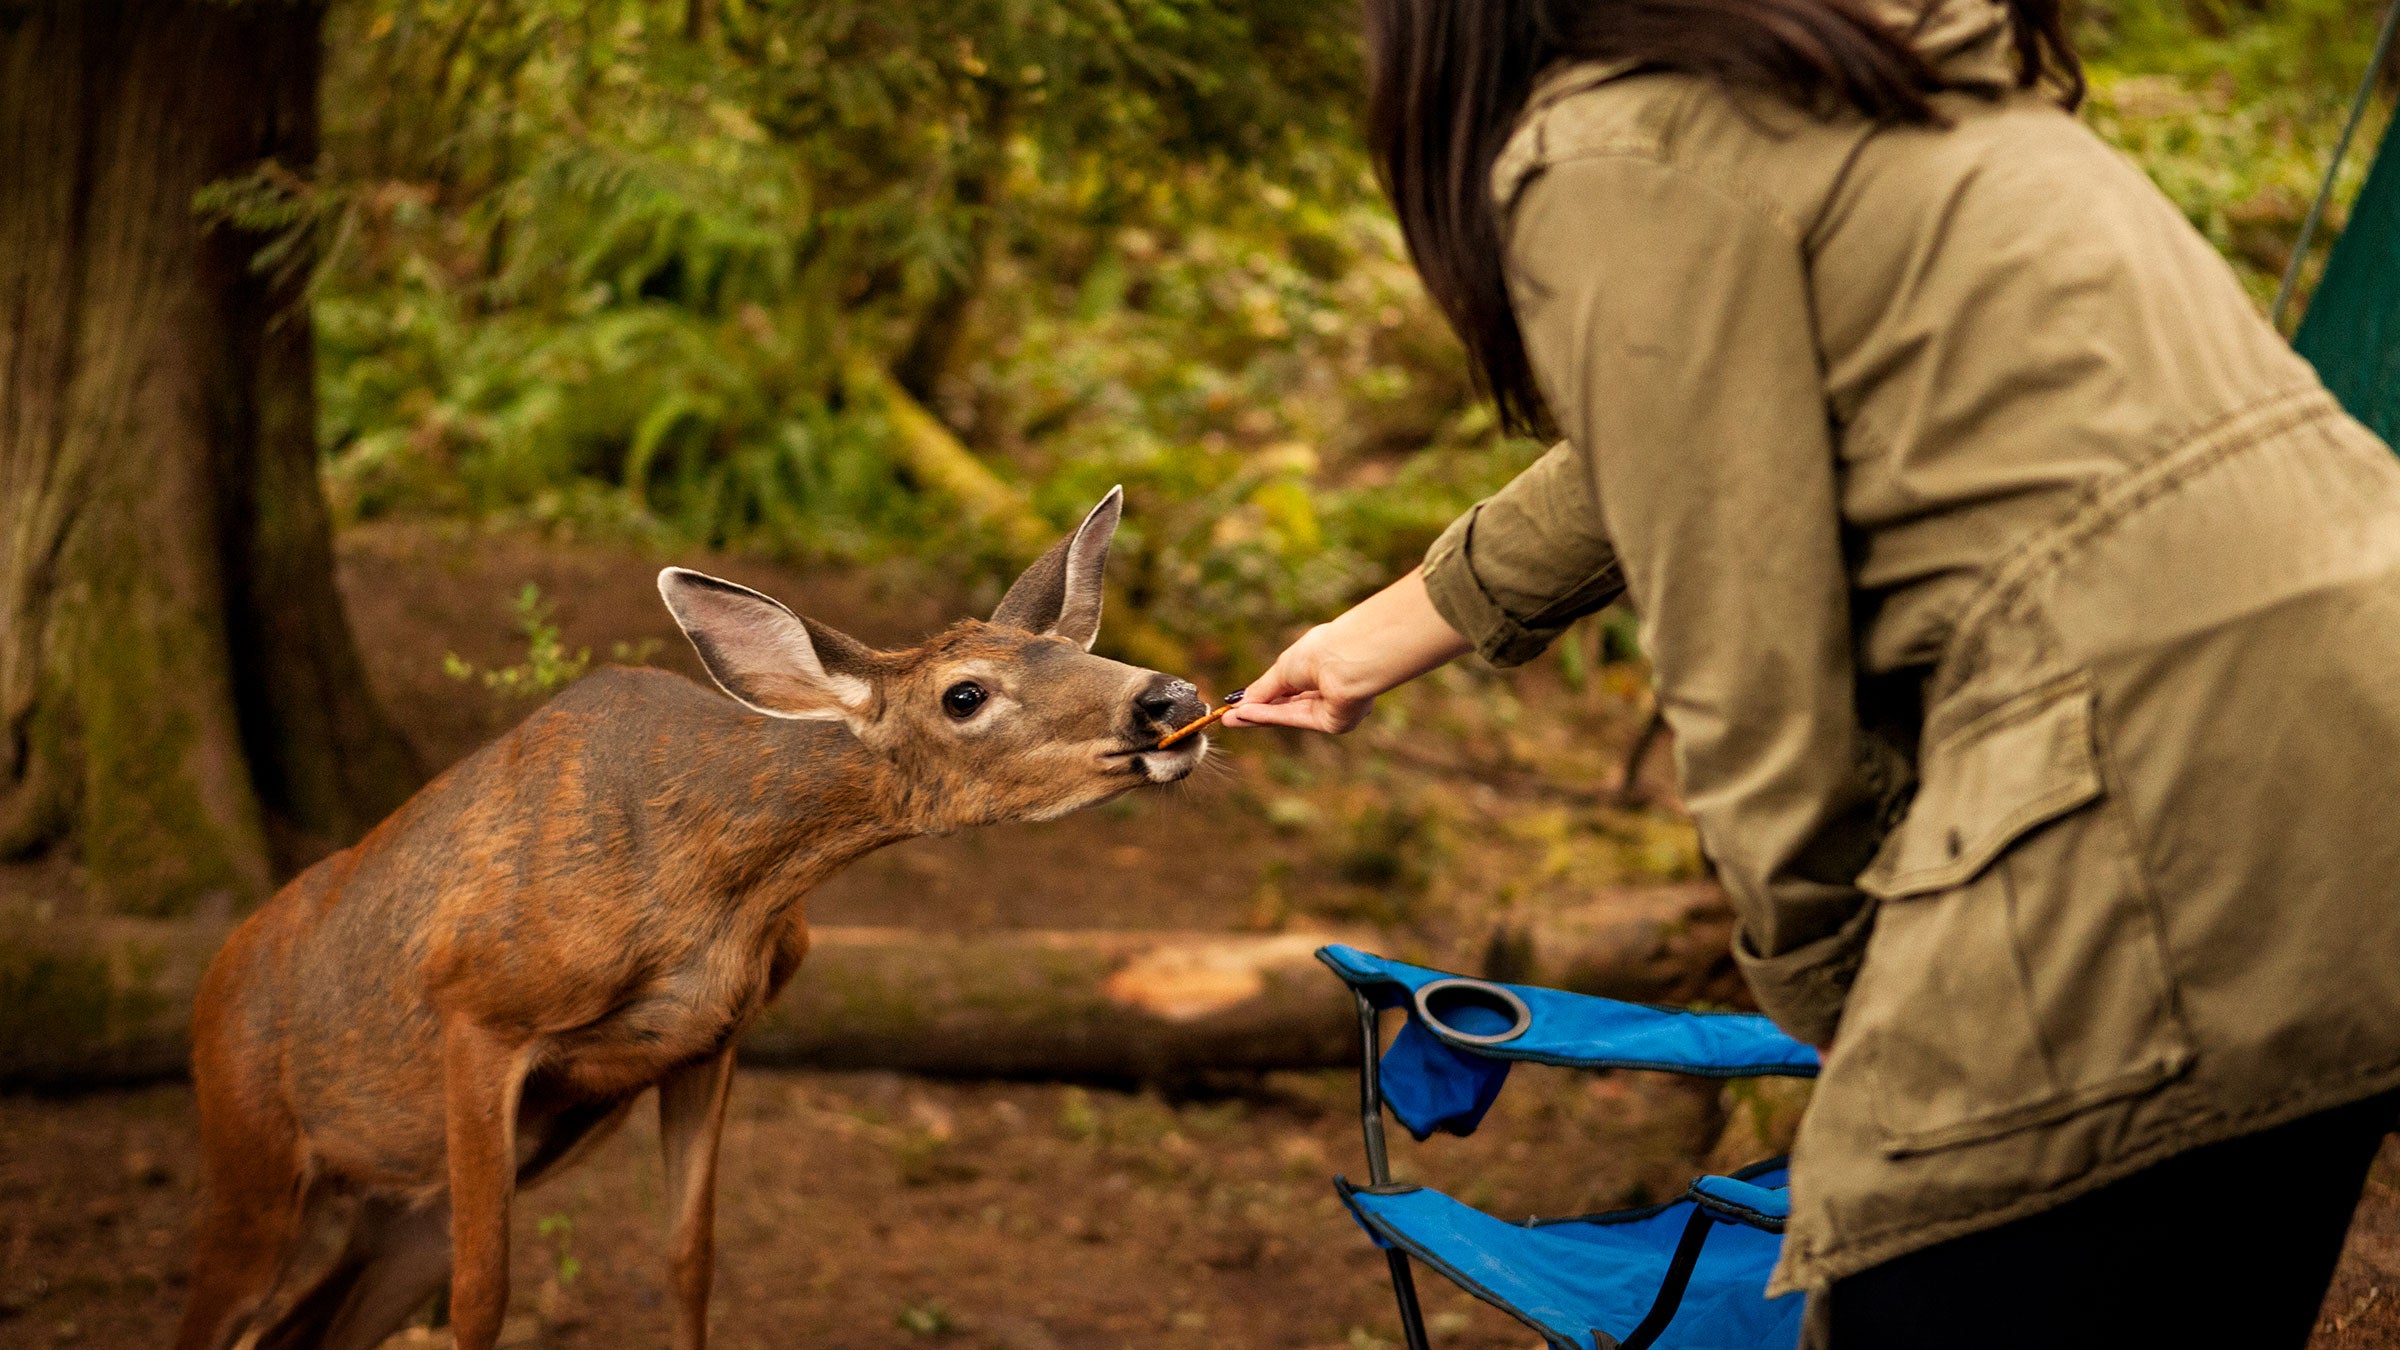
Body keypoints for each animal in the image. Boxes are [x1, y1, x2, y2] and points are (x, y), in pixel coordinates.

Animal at [173, 489, 1208, 1350]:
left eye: (1080, 651)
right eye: (965, 694)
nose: (1172, 698)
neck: (716, 892)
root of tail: (212, 980)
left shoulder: (711, 1038)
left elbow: (688, 1261)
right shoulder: (480, 1005)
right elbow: (482, 1298)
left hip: (413, 1203)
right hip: (250, 1151)